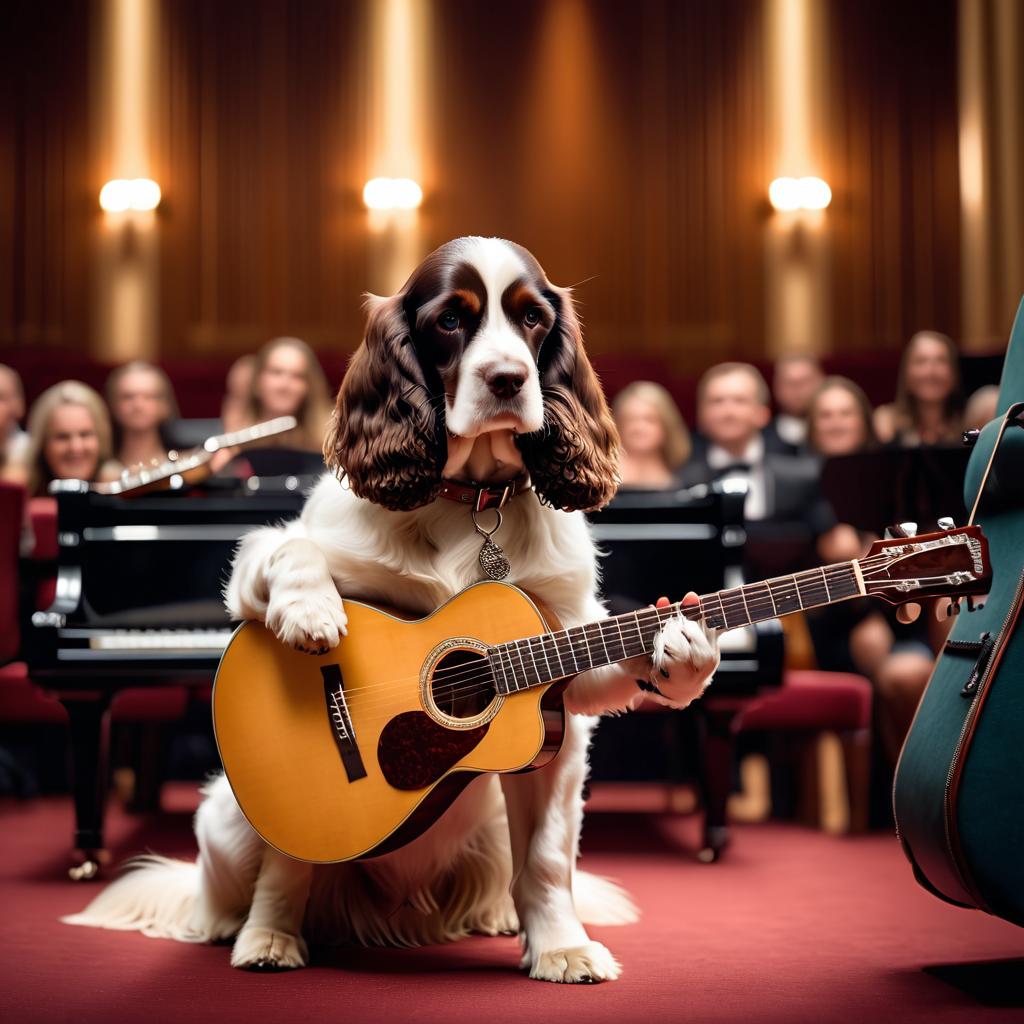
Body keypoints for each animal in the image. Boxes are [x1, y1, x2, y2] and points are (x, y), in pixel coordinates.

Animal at [64, 237, 720, 983]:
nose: (507, 380)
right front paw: (311, 615)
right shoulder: (260, 560)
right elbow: (289, 552)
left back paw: (498, 918)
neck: (471, 501)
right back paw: (256, 933)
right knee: (245, 884)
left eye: (532, 318)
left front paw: (562, 947)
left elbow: (549, 860)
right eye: (450, 320)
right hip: (229, 818)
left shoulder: (559, 698)